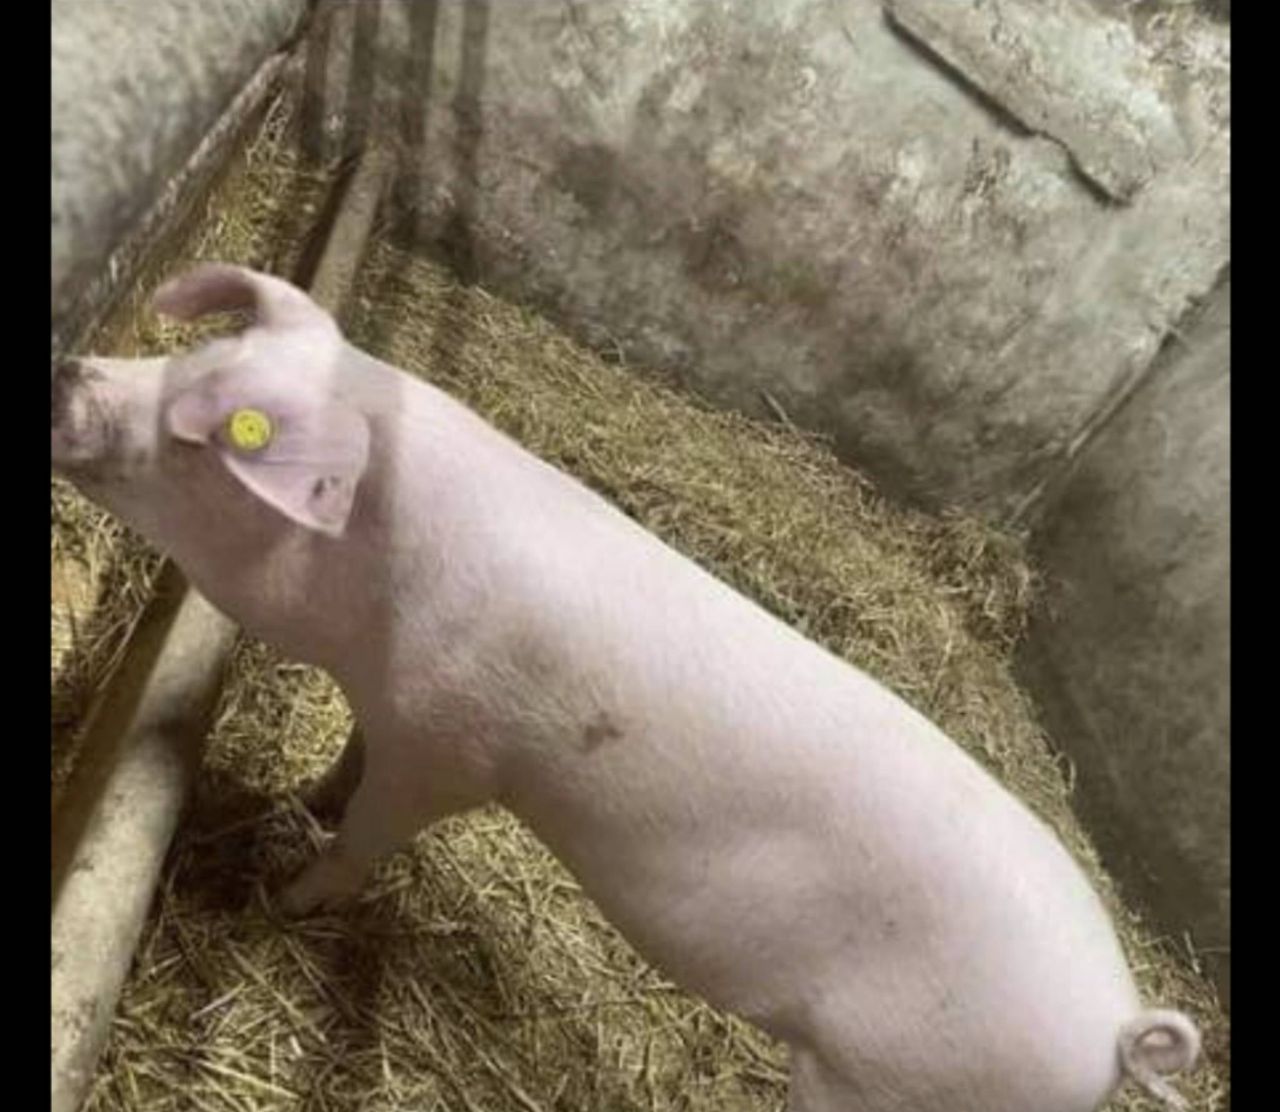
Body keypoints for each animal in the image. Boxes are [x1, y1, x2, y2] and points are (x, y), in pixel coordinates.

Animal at [51, 263, 1202, 1112]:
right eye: (197, 351)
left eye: (207, 435)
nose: (67, 374)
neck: (370, 592)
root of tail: (1111, 1022)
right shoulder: (394, 711)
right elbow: (348, 764)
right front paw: (303, 797)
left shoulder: (451, 750)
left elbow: (366, 840)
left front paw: (280, 895)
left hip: (891, 1082)